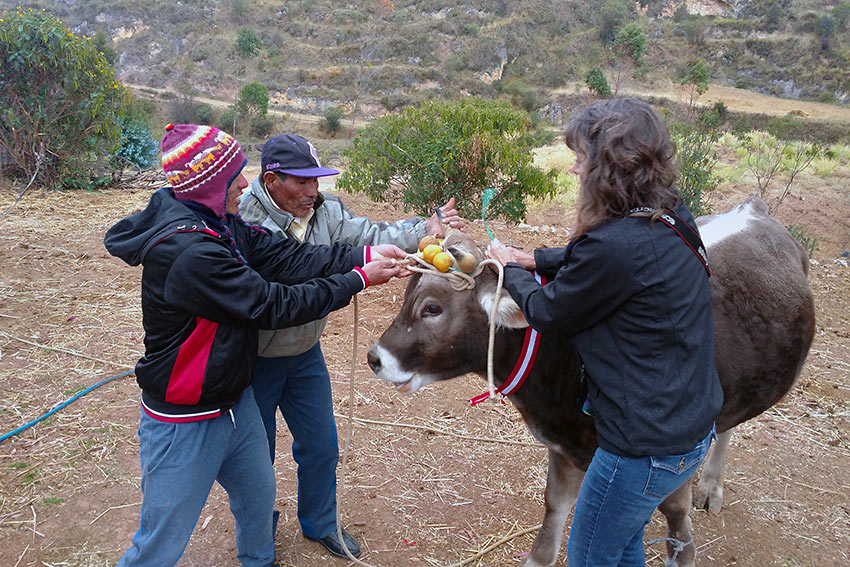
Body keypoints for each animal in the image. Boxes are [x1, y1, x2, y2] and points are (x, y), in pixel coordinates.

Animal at [366, 196, 816, 567]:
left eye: (431, 308)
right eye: (407, 297)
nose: (375, 358)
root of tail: (753, 209)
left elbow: (679, 528)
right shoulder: (563, 448)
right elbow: (550, 525)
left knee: (726, 430)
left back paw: (711, 486)